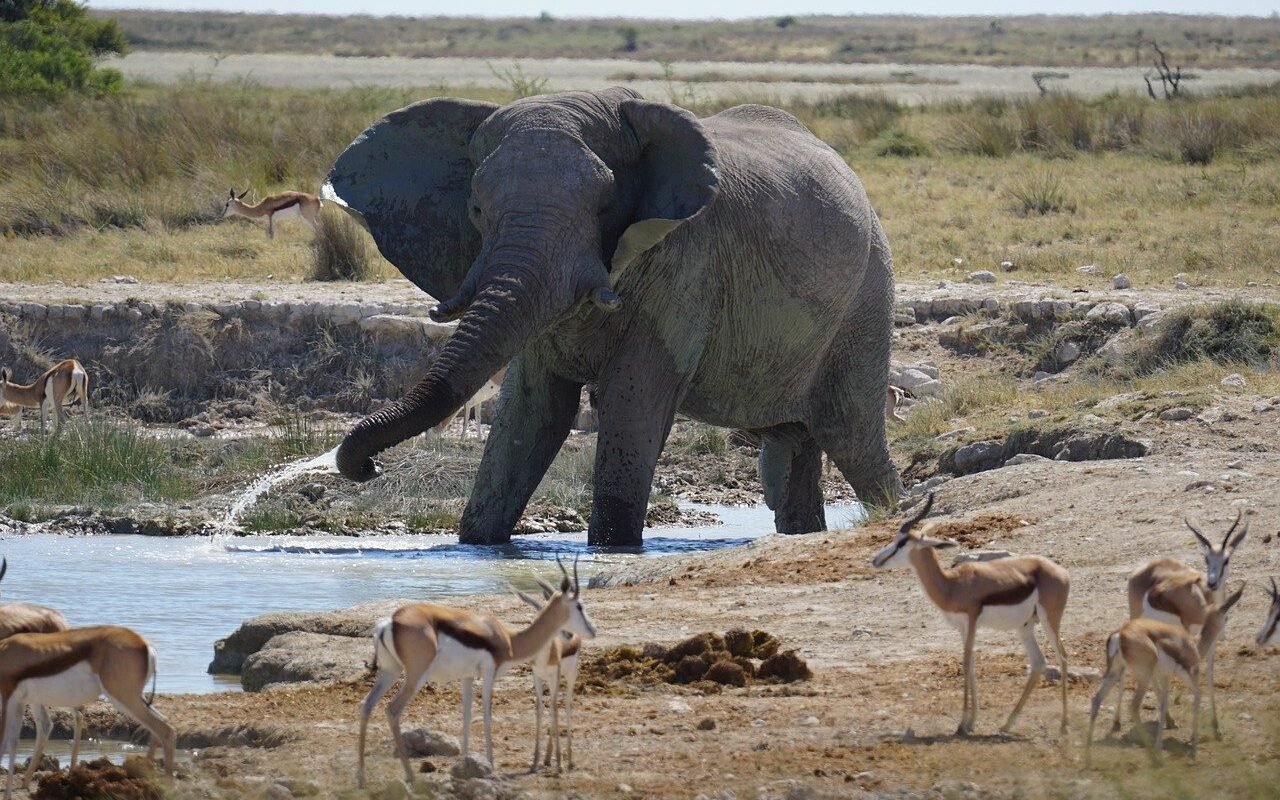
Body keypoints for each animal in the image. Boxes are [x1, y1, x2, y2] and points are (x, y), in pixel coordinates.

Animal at [325, 88, 906, 547]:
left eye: (605, 208)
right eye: (476, 211)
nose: (368, 468)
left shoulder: (687, 260)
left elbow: (633, 399)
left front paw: (612, 548)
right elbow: (533, 411)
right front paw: (477, 545)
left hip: (867, 297)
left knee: (853, 441)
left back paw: (893, 515)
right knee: (794, 445)